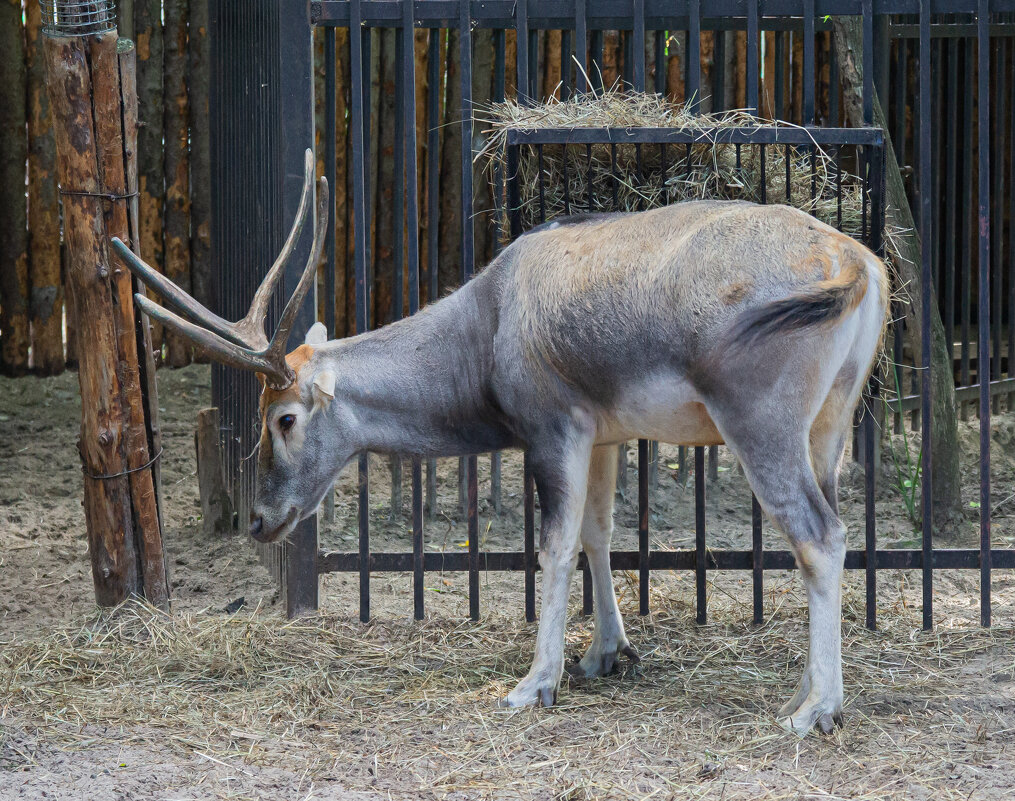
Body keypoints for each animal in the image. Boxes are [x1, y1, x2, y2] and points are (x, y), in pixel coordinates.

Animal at [113, 147, 889, 735]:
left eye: (283, 418)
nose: (259, 520)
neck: (489, 321)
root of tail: (851, 261)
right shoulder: (602, 435)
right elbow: (598, 533)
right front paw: (605, 654)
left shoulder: (552, 430)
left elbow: (553, 545)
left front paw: (533, 683)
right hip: (827, 429)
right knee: (826, 528)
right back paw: (801, 689)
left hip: (758, 424)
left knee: (819, 534)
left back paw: (815, 710)